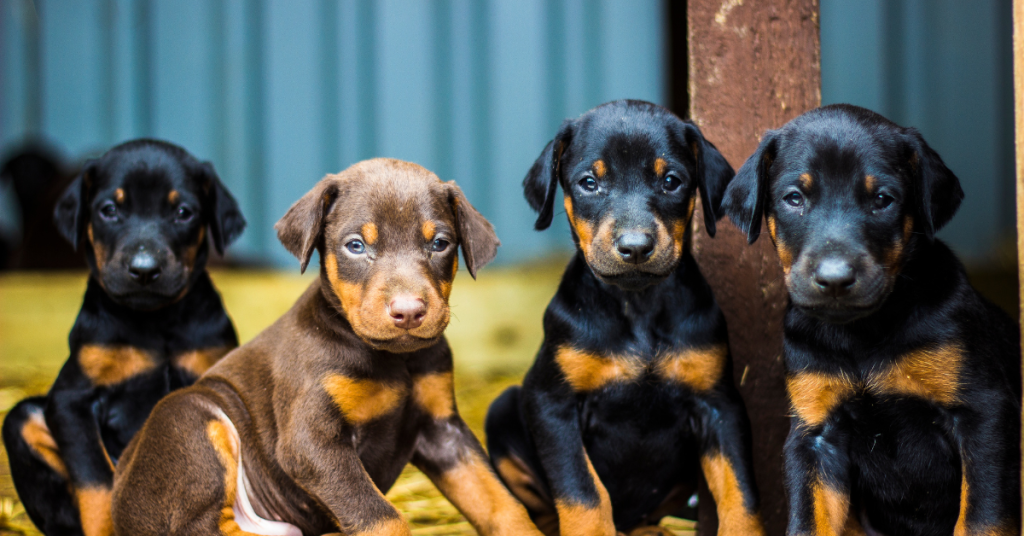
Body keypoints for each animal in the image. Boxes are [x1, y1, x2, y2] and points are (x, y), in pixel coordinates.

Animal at [1, 140, 245, 536]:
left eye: (183, 212)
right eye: (109, 210)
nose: (144, 270)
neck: (154, 321)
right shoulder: (72, 400)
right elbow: (97, 480)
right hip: (24, 421)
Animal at [109, 159, 548, 536]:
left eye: (439, 243)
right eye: (355, 246)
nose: (408, 311)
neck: (392, 360)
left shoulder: (444, 431)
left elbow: (501, 504)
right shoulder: (310, 441)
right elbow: (382, 518)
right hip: (191, 417)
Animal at [483, 101, 765, 536]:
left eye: (671, 181)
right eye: (588, 183)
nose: (635, 247)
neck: (638, 305)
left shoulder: (720, 405)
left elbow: (741, 493)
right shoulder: (552, 403)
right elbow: (582, 492)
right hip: (502, 409)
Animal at [720, 102, 1024, 532]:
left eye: (883, 199)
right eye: (794, 198)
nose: (834, 279)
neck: (861, 334)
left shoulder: (984, 414)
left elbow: (982, 519)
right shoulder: (815, 434)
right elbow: (808, 522)